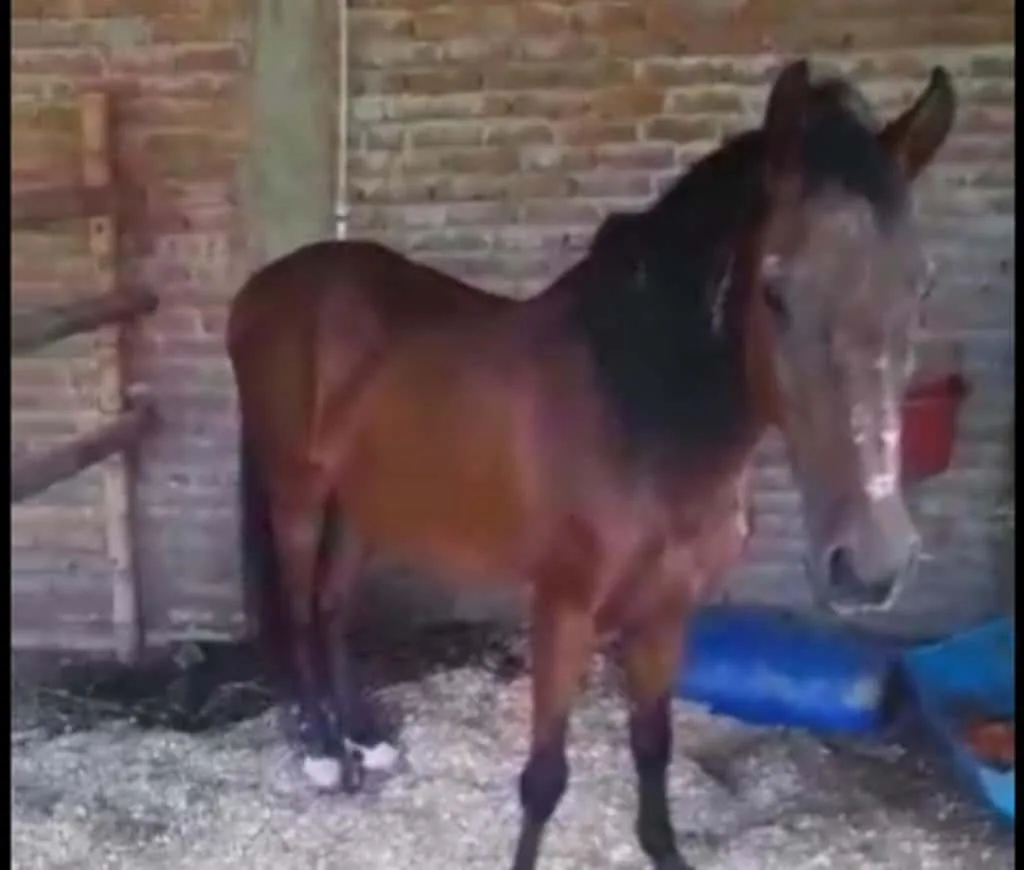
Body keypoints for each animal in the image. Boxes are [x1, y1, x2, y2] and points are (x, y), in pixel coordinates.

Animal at [227, 60, 955, 870]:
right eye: (775, 288)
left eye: (921, 286)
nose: (871, 564)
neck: (642, 418)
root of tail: (266, 288)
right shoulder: (565, 611)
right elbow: (544, 779)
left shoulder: (669, 611)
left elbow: (653, 746)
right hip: (298, 493)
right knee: (298, 607)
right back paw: (326, 750)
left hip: (365, 500)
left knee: (331, 607)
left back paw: (363, 738)